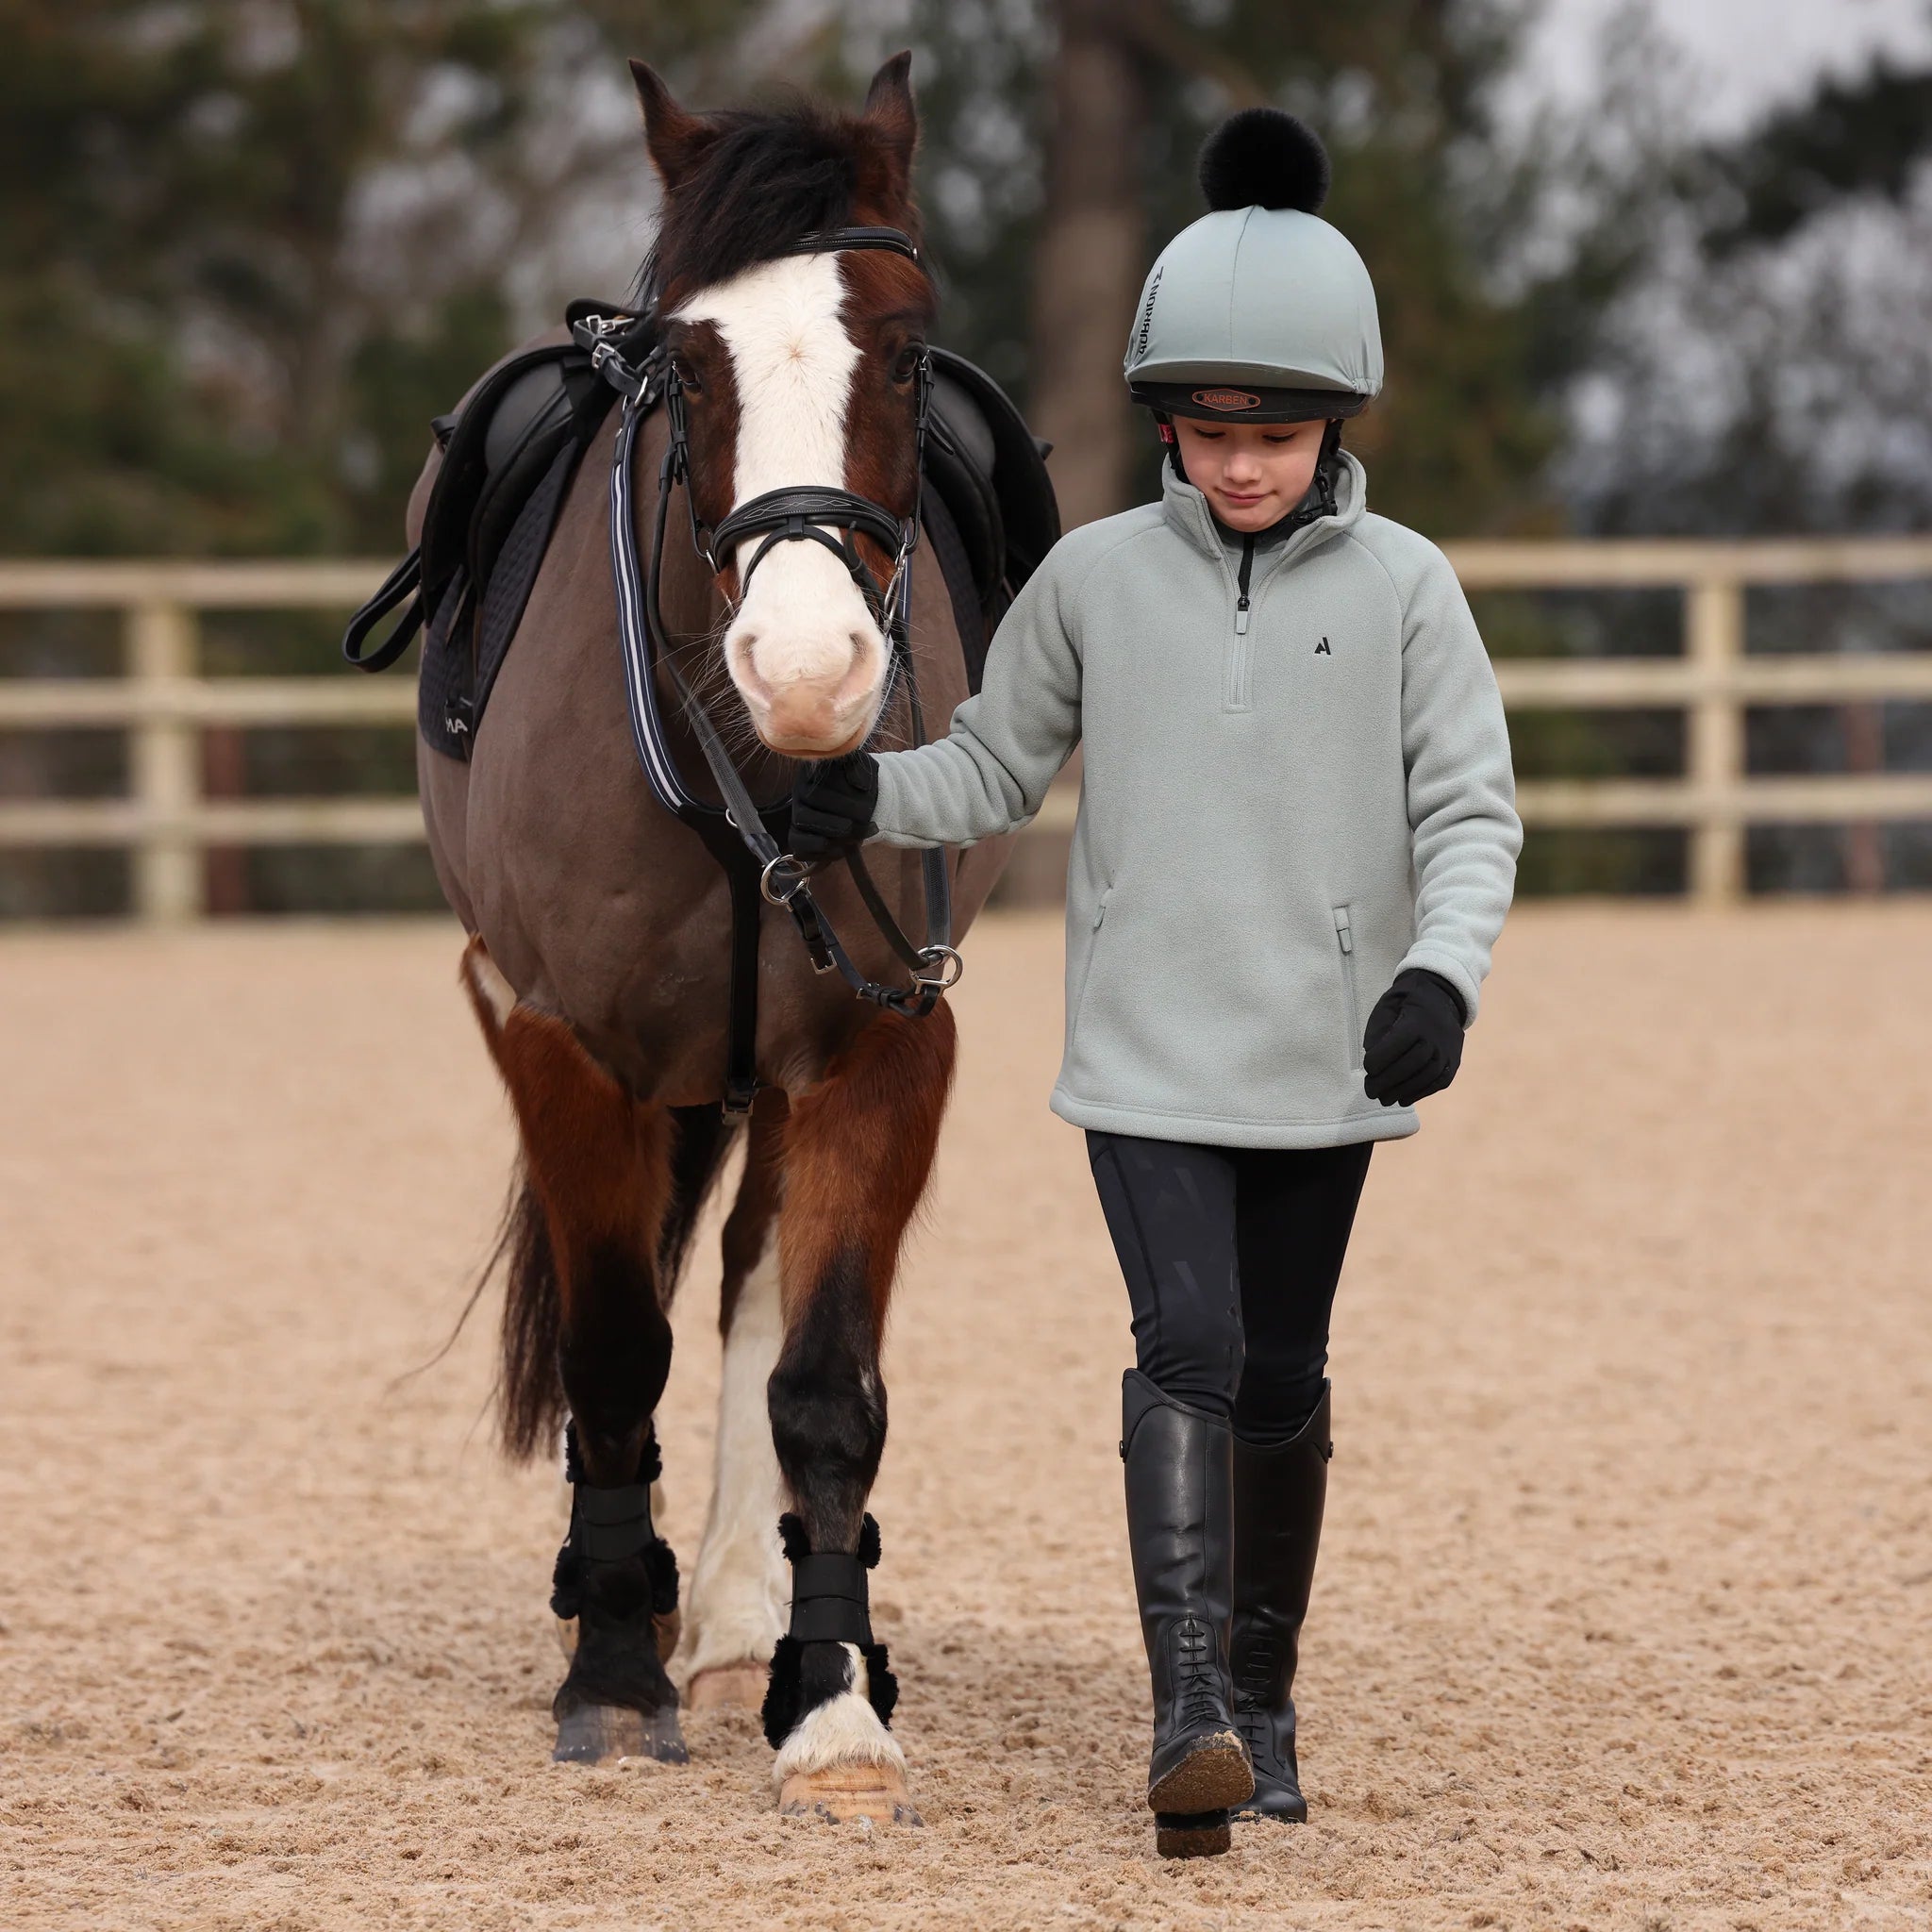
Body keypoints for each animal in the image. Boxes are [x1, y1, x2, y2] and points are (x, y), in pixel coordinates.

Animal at [405, 55, 1014, 1824]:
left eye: (907, 345)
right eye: (685, 361)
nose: (807, 667)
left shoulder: (889, 1040)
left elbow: (822, 1385)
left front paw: (830, 1704)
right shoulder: (552, 1034)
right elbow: (613, 1352)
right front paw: (610, 1675)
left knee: (745, 1285)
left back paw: (743, 1624)